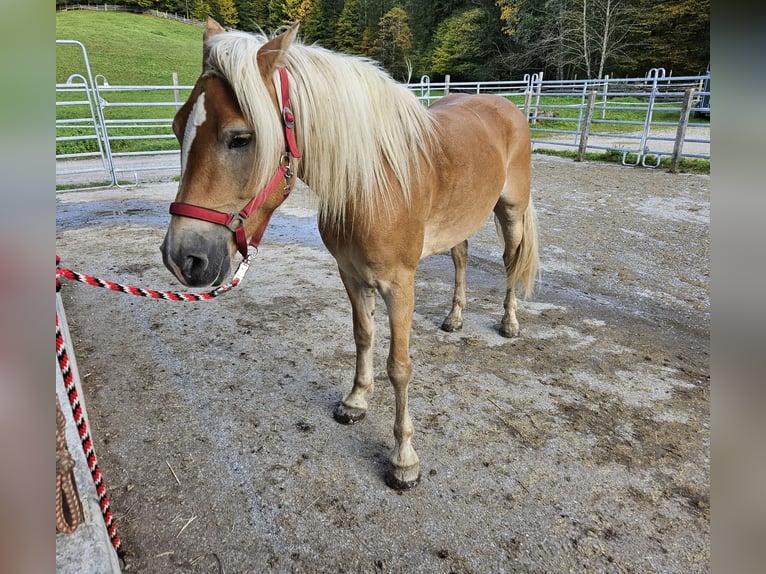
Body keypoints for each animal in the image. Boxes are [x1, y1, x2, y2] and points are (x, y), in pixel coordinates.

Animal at [160, 20, 540, 492]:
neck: (373, 183)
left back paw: (509, 322)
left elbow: (400, 366)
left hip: (511, 211)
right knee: (461, 257)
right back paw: (454, 318)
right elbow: (363, 337)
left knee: (509, 261)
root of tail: (507, 107)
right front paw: (356, 401)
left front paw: (403, 458)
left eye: (240, 138)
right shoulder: (352, 275)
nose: (182, 258)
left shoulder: (399, 285)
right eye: (178, 128)